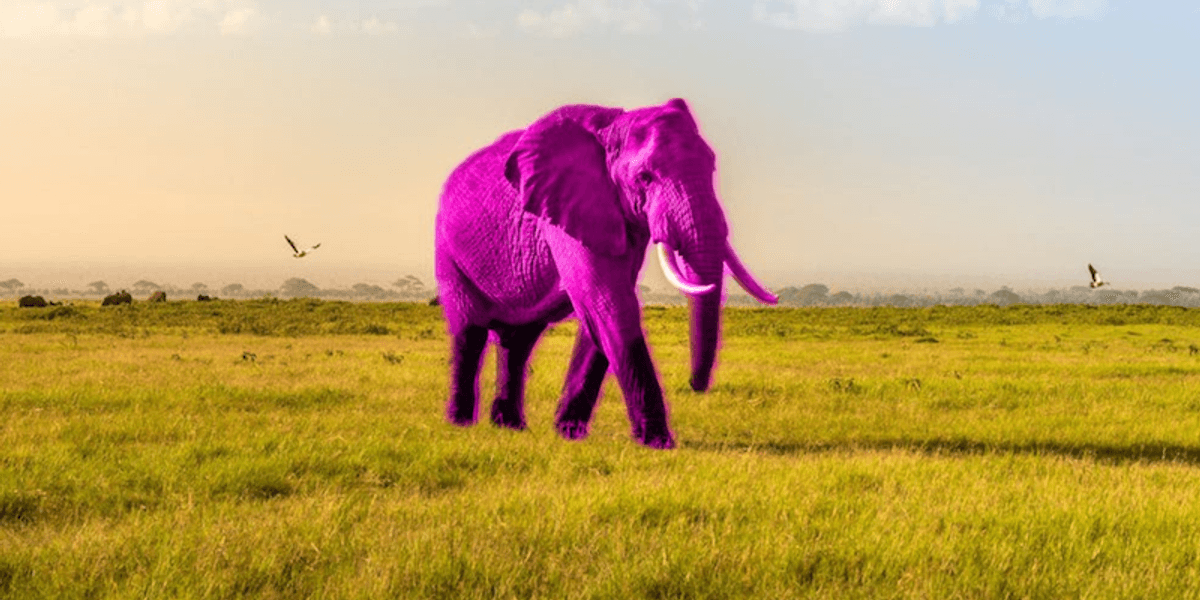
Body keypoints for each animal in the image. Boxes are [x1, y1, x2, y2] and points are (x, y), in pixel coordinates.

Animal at [434, 98, 778, 449]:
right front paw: (657, 442)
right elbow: (608, 302)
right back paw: (461, 424)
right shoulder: (567, 209)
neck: (613, 127)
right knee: (471, 331)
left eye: (712, 167)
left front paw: (568, 433)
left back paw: (510, 427)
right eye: (645, 177)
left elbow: (600, 310)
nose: (696, 386)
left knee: (518, 341)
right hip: (448, 249)